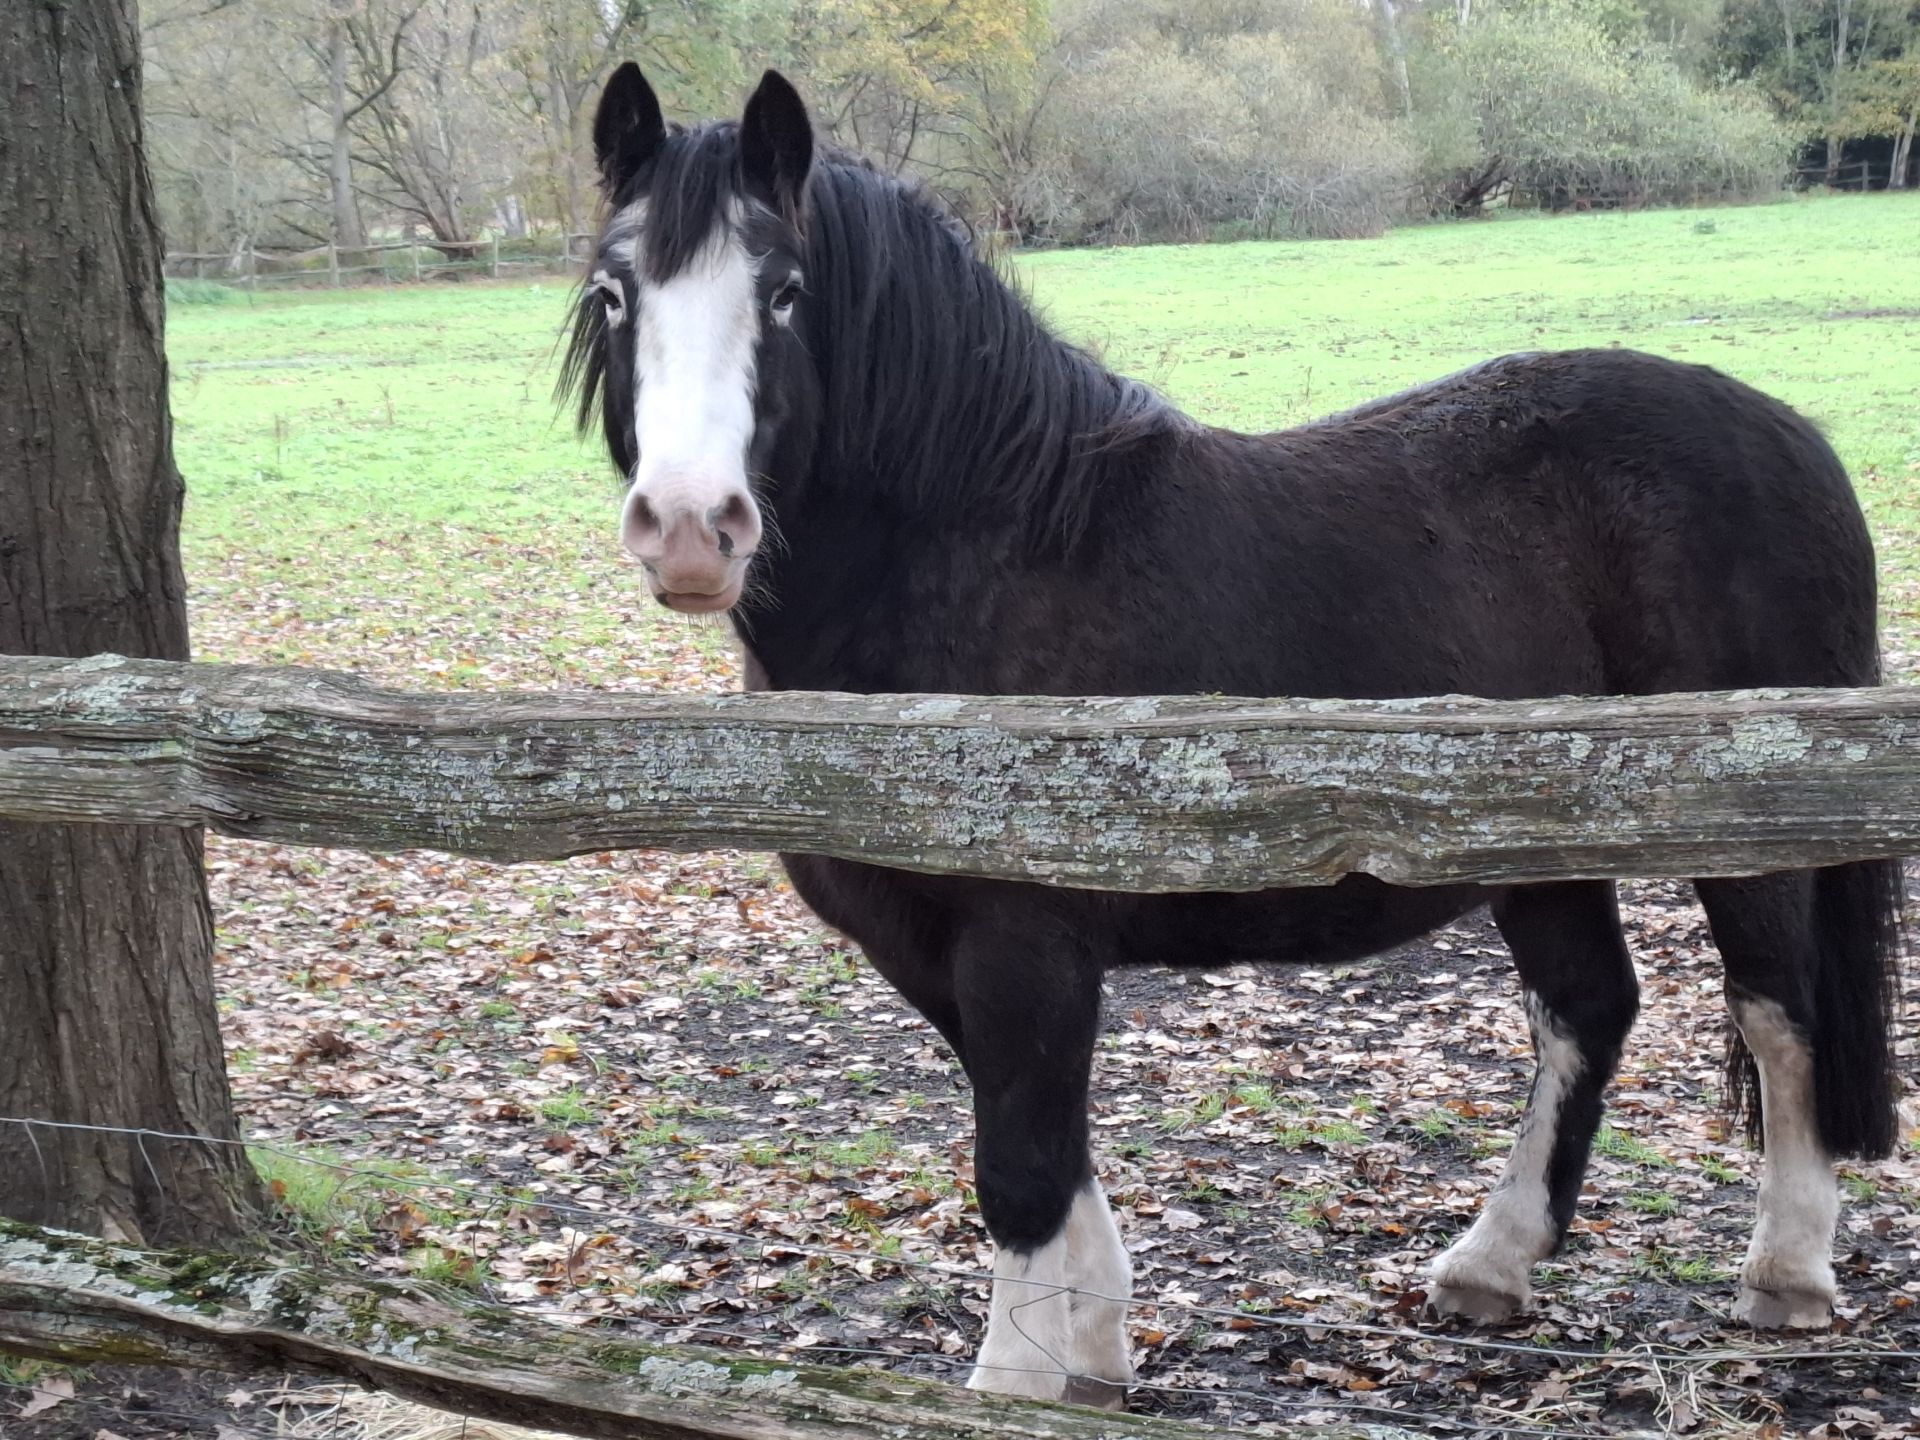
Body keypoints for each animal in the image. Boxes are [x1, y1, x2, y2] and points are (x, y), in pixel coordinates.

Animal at [561, 64, 1904, 1408]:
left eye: (785, 292)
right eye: (614, 293)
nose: (691, 530)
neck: (980, 553)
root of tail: (1793, 436)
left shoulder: (1025, 940)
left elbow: (1023, 1167)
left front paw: (1018, 1383)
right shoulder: (927, 944)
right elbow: (1048, 1146)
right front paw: (1097, 1350)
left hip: (1745, 834)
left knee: (1778, 1015)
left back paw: (1786, 1276)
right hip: (1538, 840)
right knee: (1589, 1009)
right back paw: (1490, 1266)